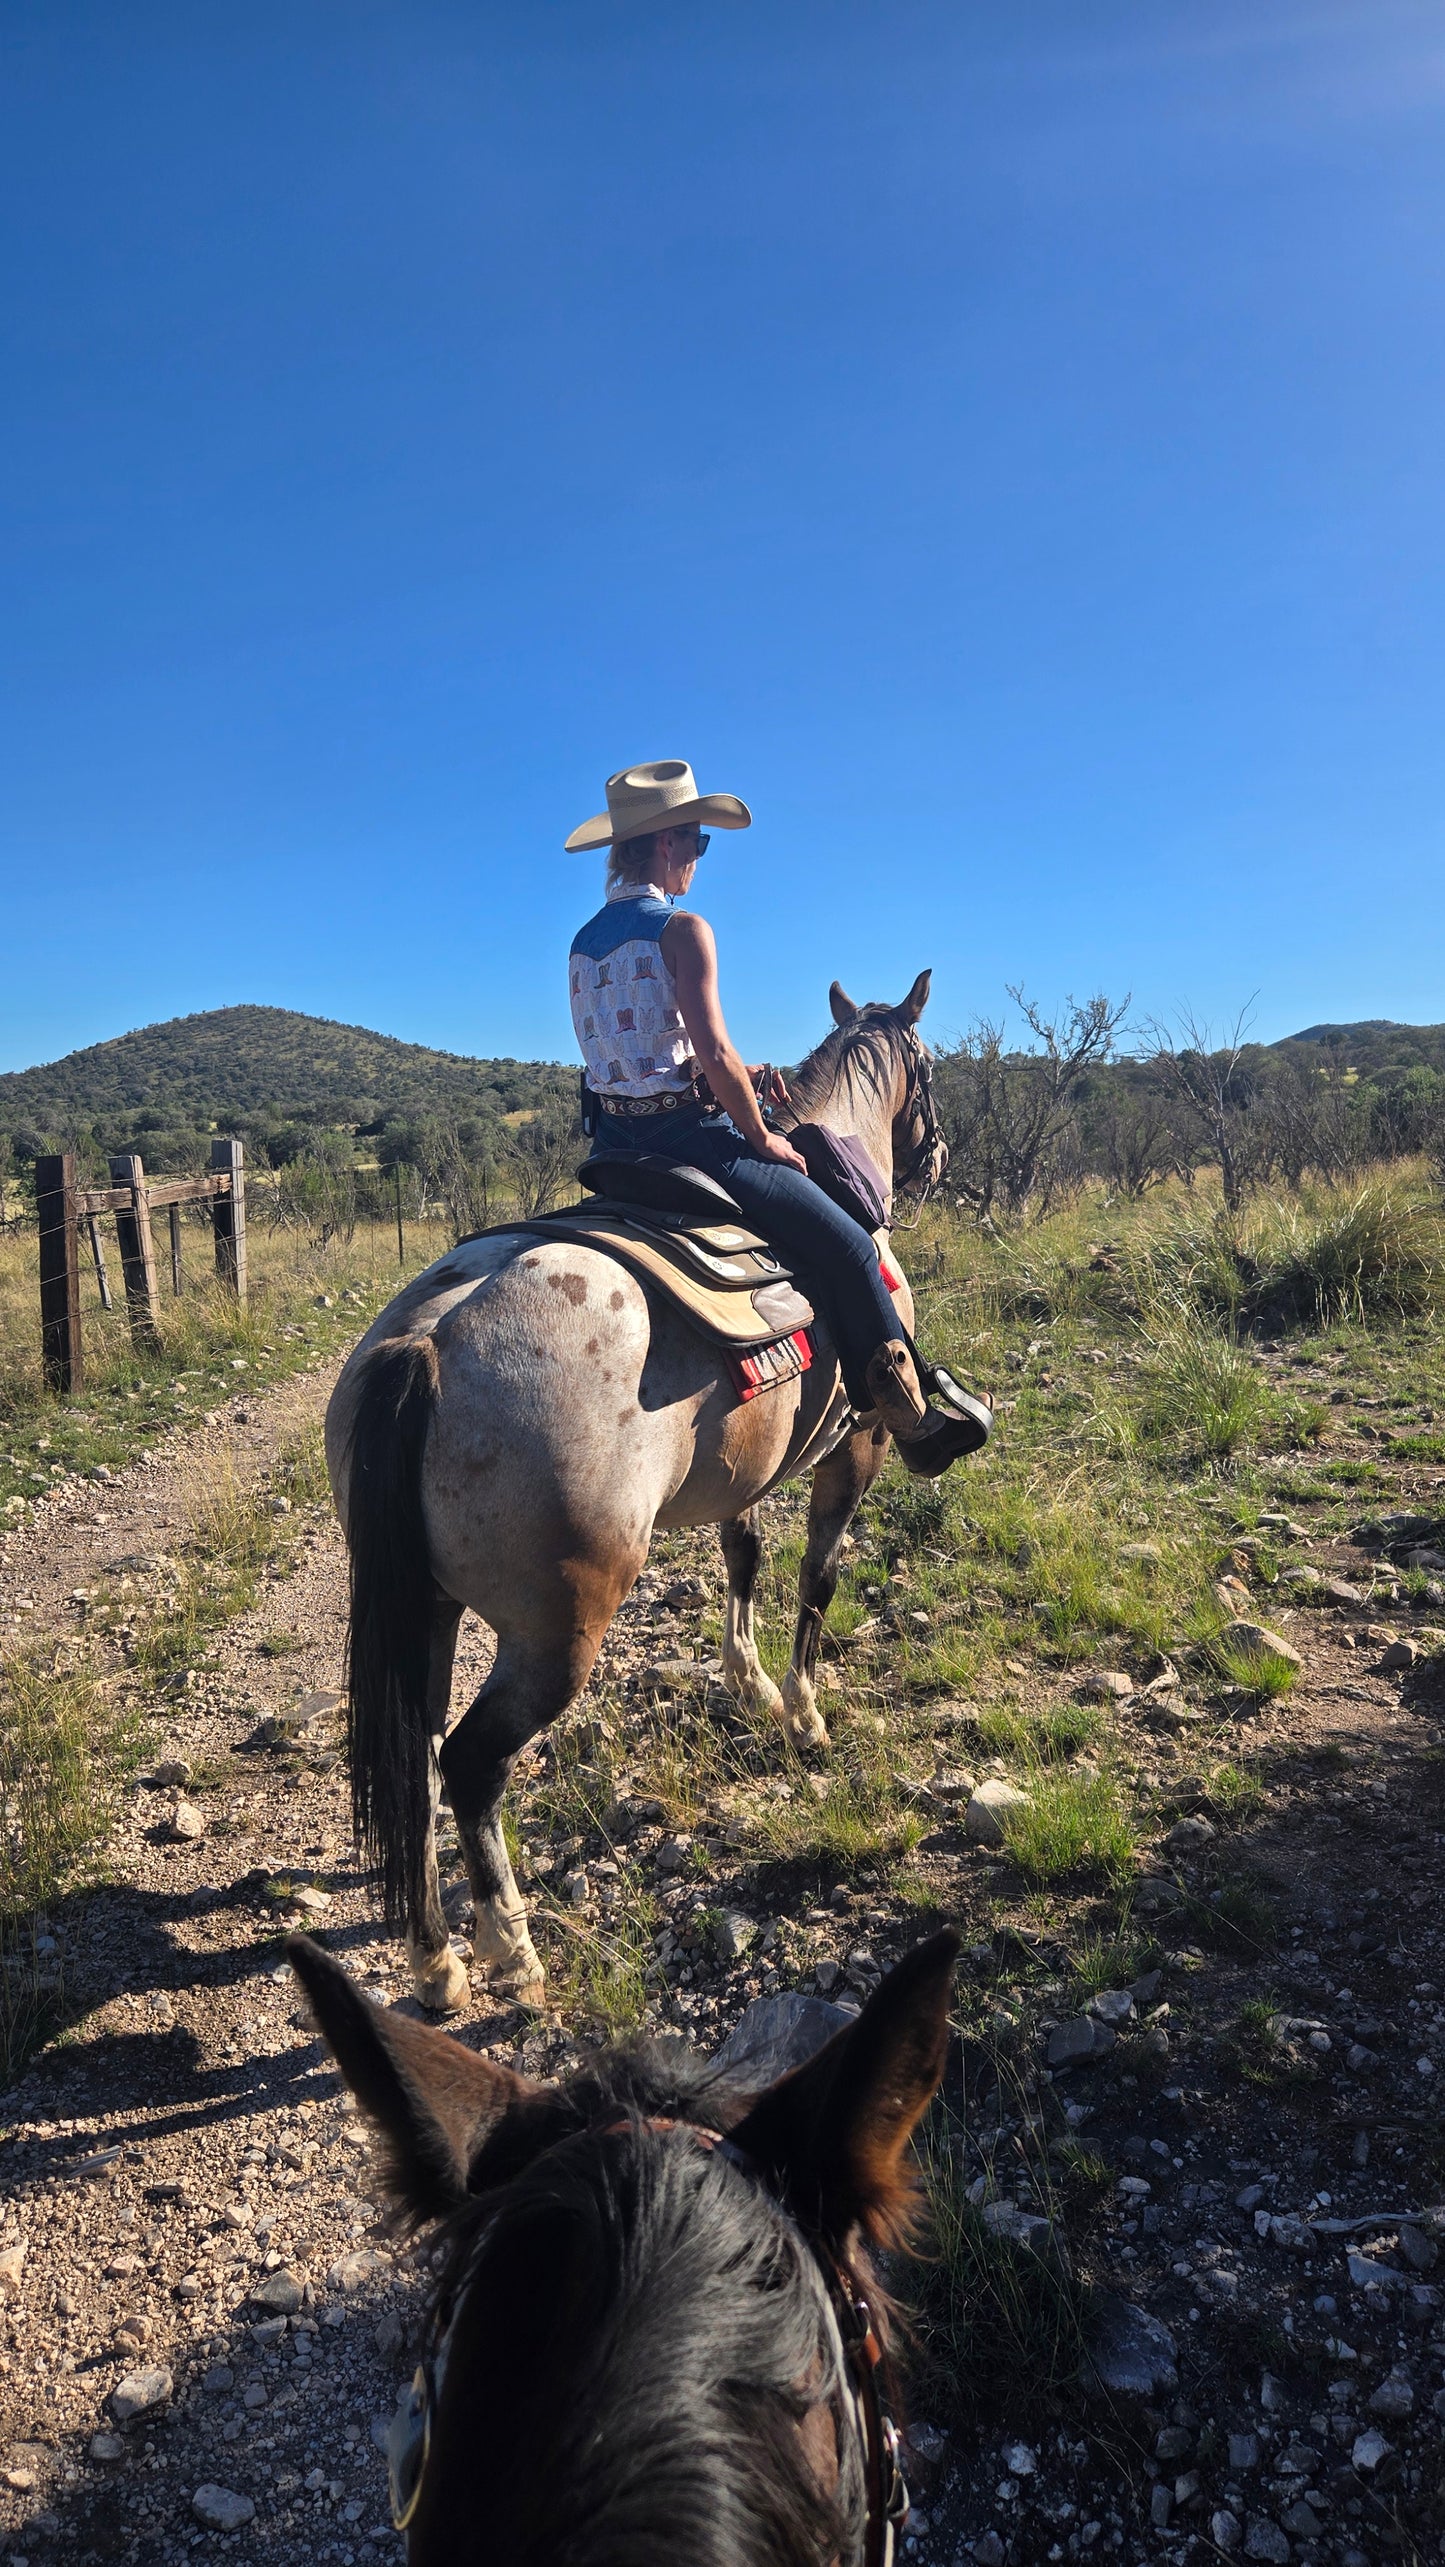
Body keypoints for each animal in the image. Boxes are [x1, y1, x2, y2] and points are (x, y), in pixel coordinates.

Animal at [326, 973, 948, 2013]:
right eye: (930, 1069)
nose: (935, 1157)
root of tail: (425, 1341)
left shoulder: (749, 1466)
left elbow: (744, 1556)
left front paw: (743, 1682)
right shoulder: (851, 1449)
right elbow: (816, 1580)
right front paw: (802, 1715)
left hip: (424, 1605)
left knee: (413, 1753)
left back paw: (437, 1960)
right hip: (558, 1631)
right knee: (470, 1763)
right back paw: (510, 1947)